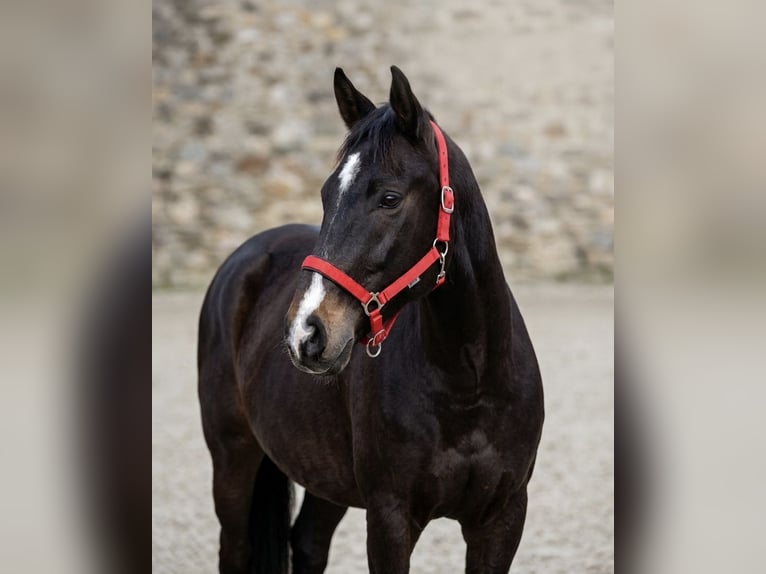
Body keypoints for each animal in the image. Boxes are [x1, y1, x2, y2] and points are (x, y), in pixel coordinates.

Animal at [198, 66, 544, 574]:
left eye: (389, 198)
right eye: (326, 195)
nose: (306, 332)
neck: (470, 383)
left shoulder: (502, 519)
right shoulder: (389, 519)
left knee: (308, 542)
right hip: (232, 458)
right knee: (236, 549)